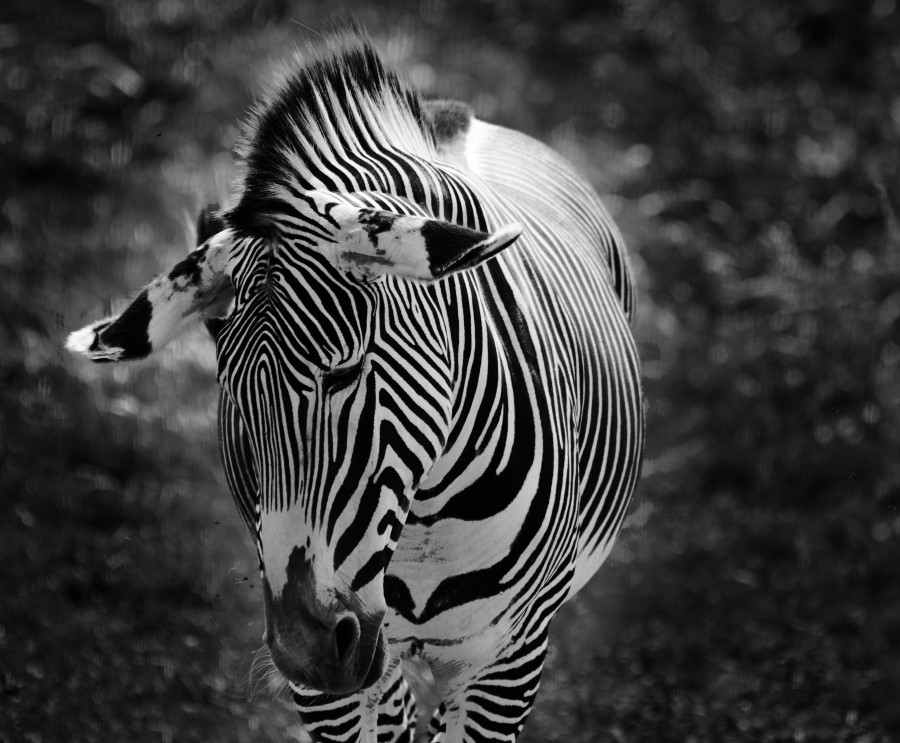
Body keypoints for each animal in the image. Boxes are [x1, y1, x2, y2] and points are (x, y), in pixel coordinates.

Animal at [67, 32, 644, 743]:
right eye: (232, 396)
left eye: (344, 373)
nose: (304, 651)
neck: (425, 515)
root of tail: (456, 114)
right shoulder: (337, 688)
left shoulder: (507, 658)